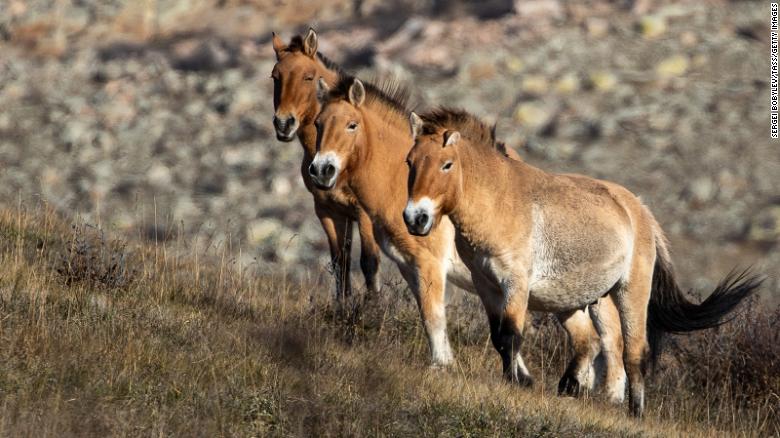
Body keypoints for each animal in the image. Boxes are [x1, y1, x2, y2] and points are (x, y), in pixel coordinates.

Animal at [272, 29, 380, 298]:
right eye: (275, 77)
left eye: (308, 77)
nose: (283, 124)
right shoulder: (329, 211)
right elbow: (340, 263)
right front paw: (343, 305)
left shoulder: (364, 214)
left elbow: (369, 262)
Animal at [310, 76, 628, 400]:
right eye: (318, 123)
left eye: (351, 125)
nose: (321, 170)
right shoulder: (410, 266)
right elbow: (436, 316)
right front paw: (520, 376)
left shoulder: (430, 265)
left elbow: (434, 315)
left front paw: (442, 364)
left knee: (612, 339)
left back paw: (611, 397)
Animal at [402, 107, 760, 418]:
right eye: (410, 161)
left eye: (447, 164)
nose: (415, 218)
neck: (500, 200)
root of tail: (641, 211)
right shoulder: (486, 285)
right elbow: (500, 339)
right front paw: (520, 381)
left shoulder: (515, 284)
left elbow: (512, 335)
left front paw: (514, 385)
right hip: (579, 299)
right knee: (590, 340)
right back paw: (571, 387)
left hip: (630, 292)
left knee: (633, 352)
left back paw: (634, 411)